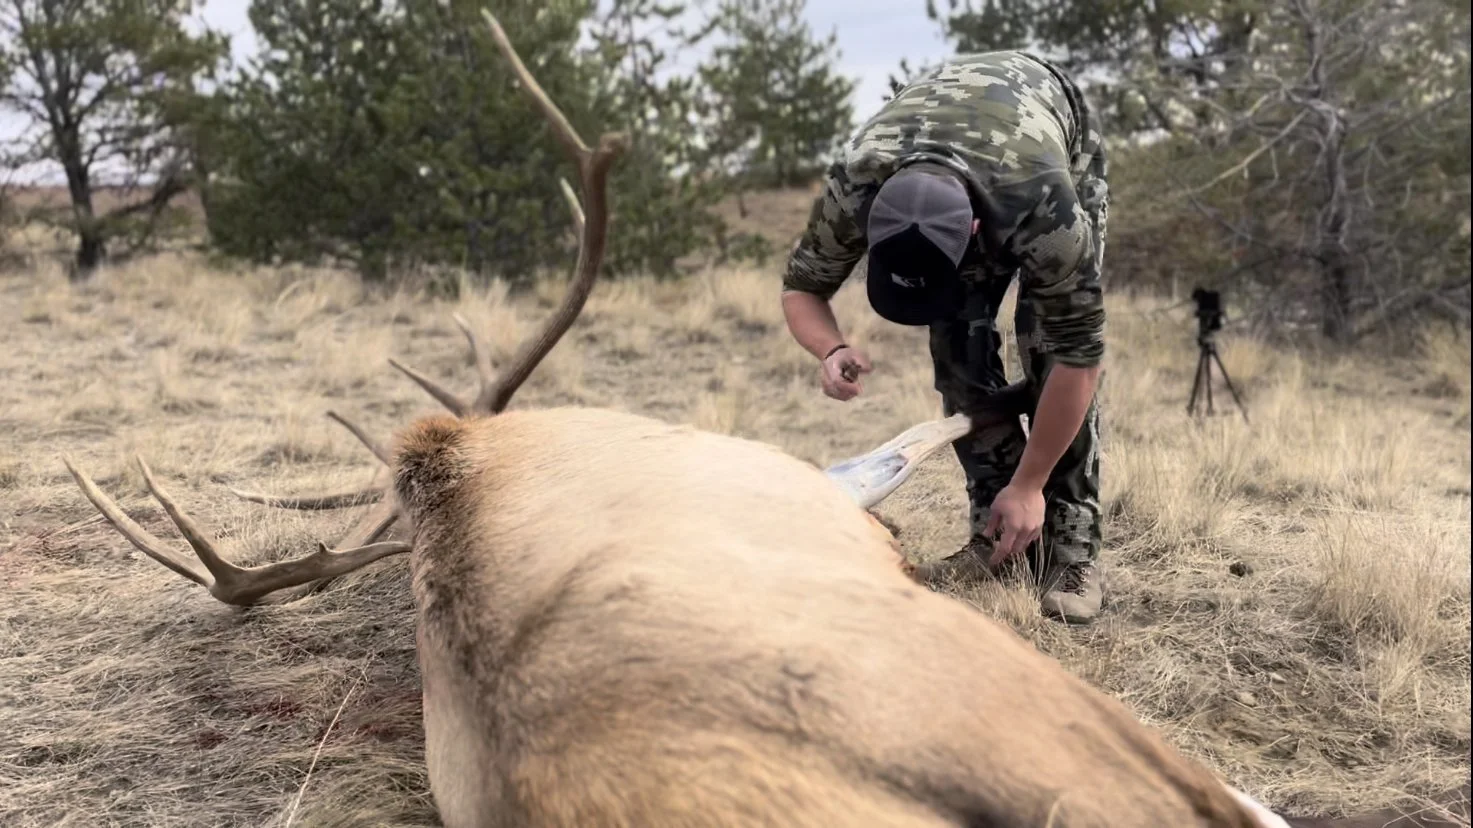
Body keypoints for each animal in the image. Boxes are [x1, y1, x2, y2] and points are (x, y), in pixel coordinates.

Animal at [58, 10, 1468, 828]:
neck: (478, 459)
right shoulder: (811, 480)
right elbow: (925, 440)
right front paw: (992, 454)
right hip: (1041, 720)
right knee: (1228, 800)